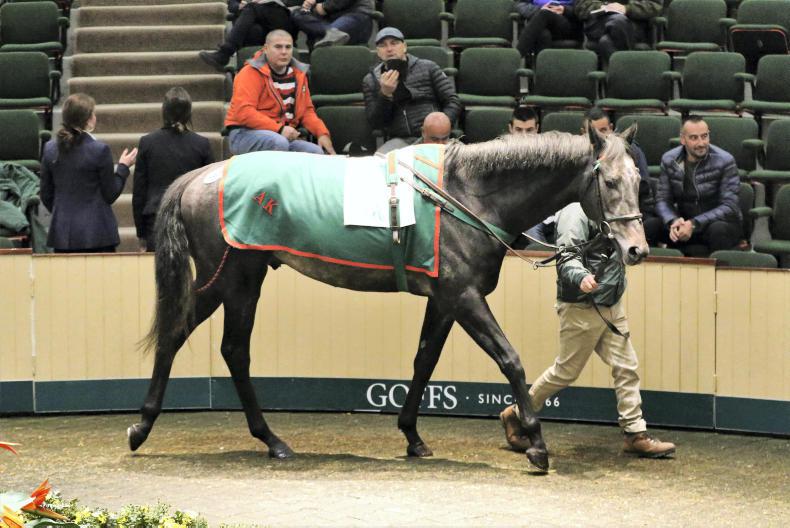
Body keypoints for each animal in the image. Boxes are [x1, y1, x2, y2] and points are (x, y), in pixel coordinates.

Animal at [127, 127, 647, 473]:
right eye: (610, 182)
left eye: (639, 179)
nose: (637, 250)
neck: (466, 195)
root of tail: (204, 174)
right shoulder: (464, 297)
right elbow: (510, 359)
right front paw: (536, 444)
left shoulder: (444, 300)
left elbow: (423, 360)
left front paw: (413, 436)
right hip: (233, 280)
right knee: (215, 344)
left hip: (232, 281)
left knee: (201, 340)